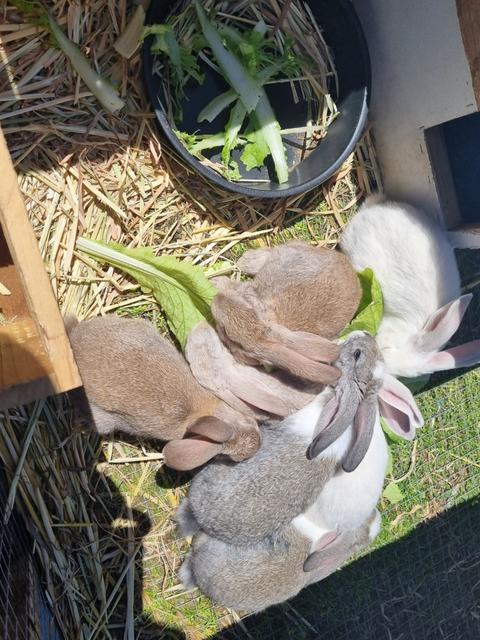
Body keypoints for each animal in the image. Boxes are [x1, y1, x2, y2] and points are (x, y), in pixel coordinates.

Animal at [66, 315, 260, 471]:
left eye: (249, 421)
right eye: (233, 459)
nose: (258, 444)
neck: (199, 413)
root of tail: (74, 338)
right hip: (102, 420)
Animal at [211, 240, 362, 384]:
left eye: (226, 332)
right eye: (248, 307)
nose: (216, 299)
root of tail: (347, 264)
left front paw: (215, 282)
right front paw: (215, 282)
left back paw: (245, 260)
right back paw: (245, 260)